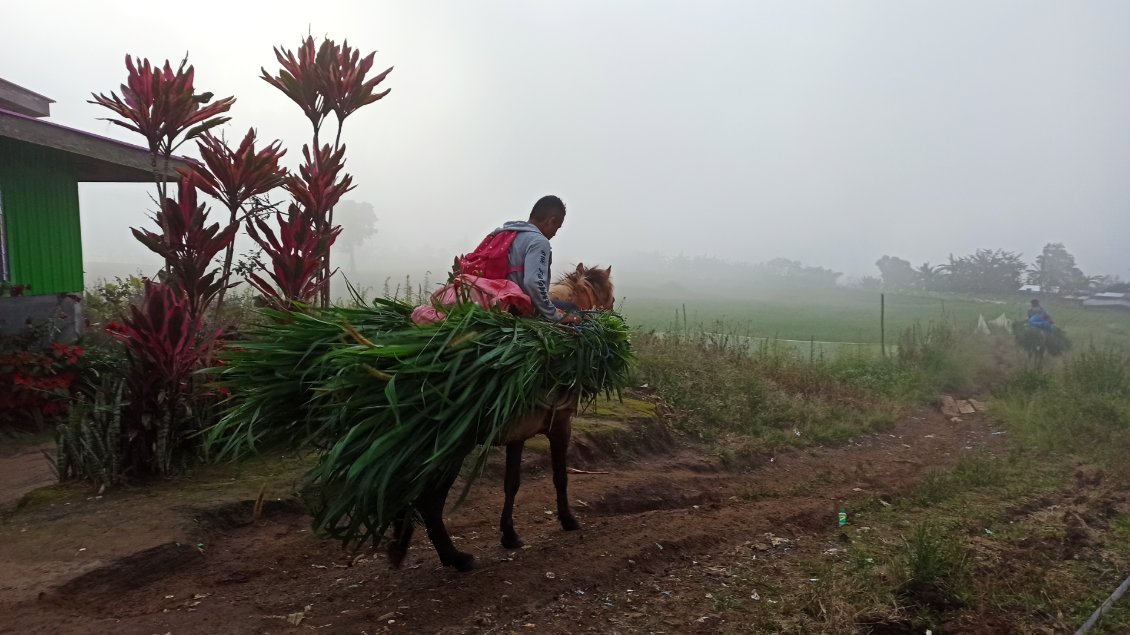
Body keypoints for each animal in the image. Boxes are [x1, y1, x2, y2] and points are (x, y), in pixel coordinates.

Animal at [388, 261, 619, 569]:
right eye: (609, 295)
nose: (612, 314)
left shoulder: (517, 436)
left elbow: (512, 484)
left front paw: (509, 535)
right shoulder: (560, 426)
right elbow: (560, 476)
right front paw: (568, 519)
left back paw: (403, 545)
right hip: (448, 453)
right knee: (429, 503)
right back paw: (454, 557)